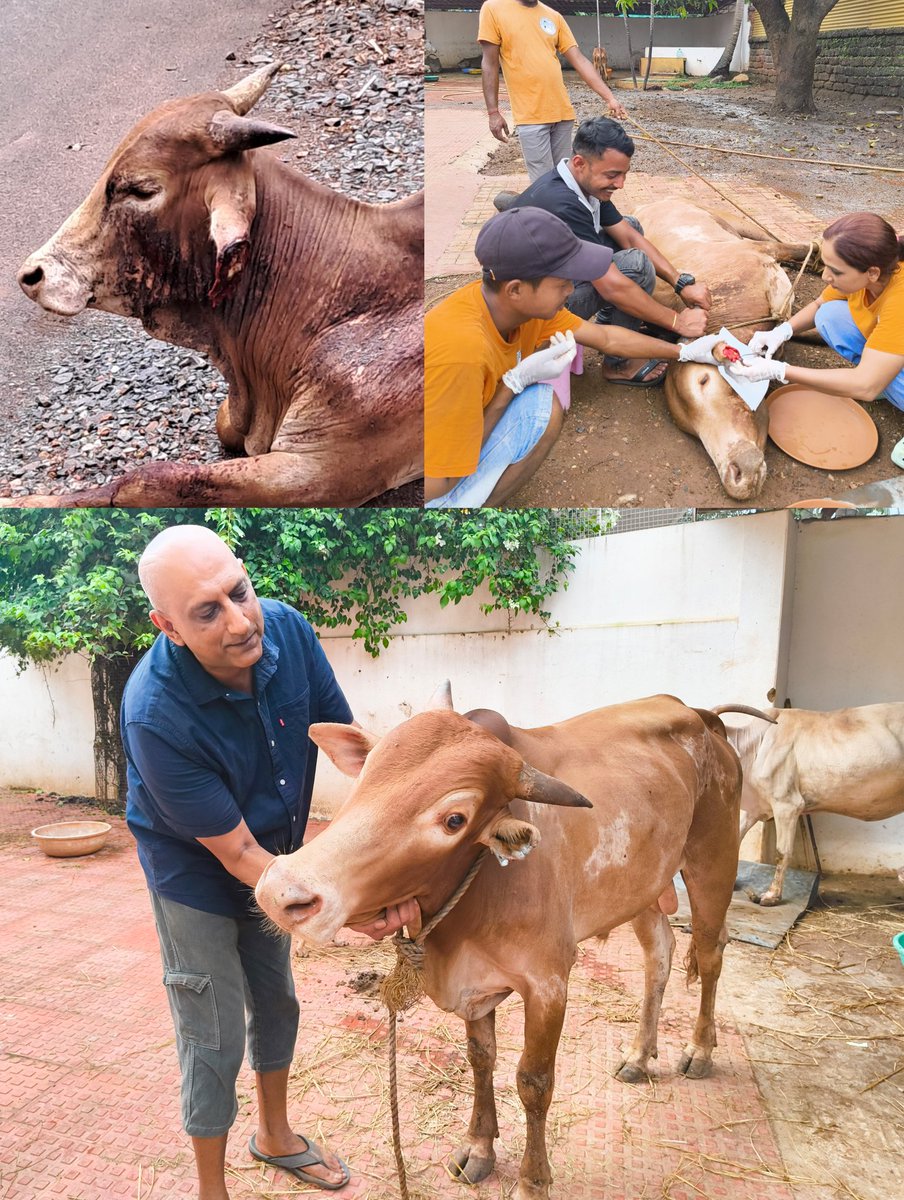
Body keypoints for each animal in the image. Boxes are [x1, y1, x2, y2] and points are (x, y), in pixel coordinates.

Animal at [256, 686, 743, 1200]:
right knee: (660, 954)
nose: (281, 891)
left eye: (455, 819)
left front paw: (533, 1180)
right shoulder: (476, 986)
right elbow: (481, 1059)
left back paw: (700, 1050)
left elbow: (533, 1081)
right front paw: (479, 1148)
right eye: (367, 774)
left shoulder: (549, 984)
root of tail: (699, 715)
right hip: (642, 888)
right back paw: (638, 1056)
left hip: (712, 863)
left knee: (710, 954)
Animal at [631, 199, 814, 501]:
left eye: (703, 380)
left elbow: (797, 249)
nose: (737, 475)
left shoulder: (758, 250)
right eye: (691, 430)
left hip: (735, 221)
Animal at [713, 702, 904, 905]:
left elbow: (782, 852)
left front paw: (772, 896)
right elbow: (737, 838)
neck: (756, 746)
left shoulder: (787, 805)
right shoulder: (757, 808)